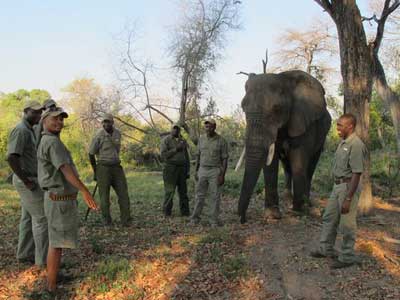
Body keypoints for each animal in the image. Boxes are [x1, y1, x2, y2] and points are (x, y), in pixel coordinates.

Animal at [238, 71, 332, 225]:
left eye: (277, 109)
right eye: (243, 107)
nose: (243, 219)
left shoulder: (304, 121)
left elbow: (299, 157)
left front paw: (297, 211)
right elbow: (271, 162)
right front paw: (272, 215)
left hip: (323, 134)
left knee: (310, 166)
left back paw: (307, 205)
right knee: (287, 167)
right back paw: (288, 200)